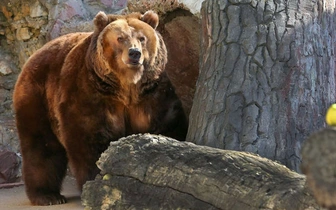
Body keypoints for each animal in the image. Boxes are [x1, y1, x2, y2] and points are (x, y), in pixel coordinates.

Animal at [13, 10, 188, 206]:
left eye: (142, 38)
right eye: (120, 38)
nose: (134, 53)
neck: (126, 88)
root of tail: (36, 52)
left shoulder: (152, 94)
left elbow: (168, 124)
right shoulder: (90, 93)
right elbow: (89, 136)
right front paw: (97, 183)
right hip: (38, 97)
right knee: (41, 145)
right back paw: (48, 196)